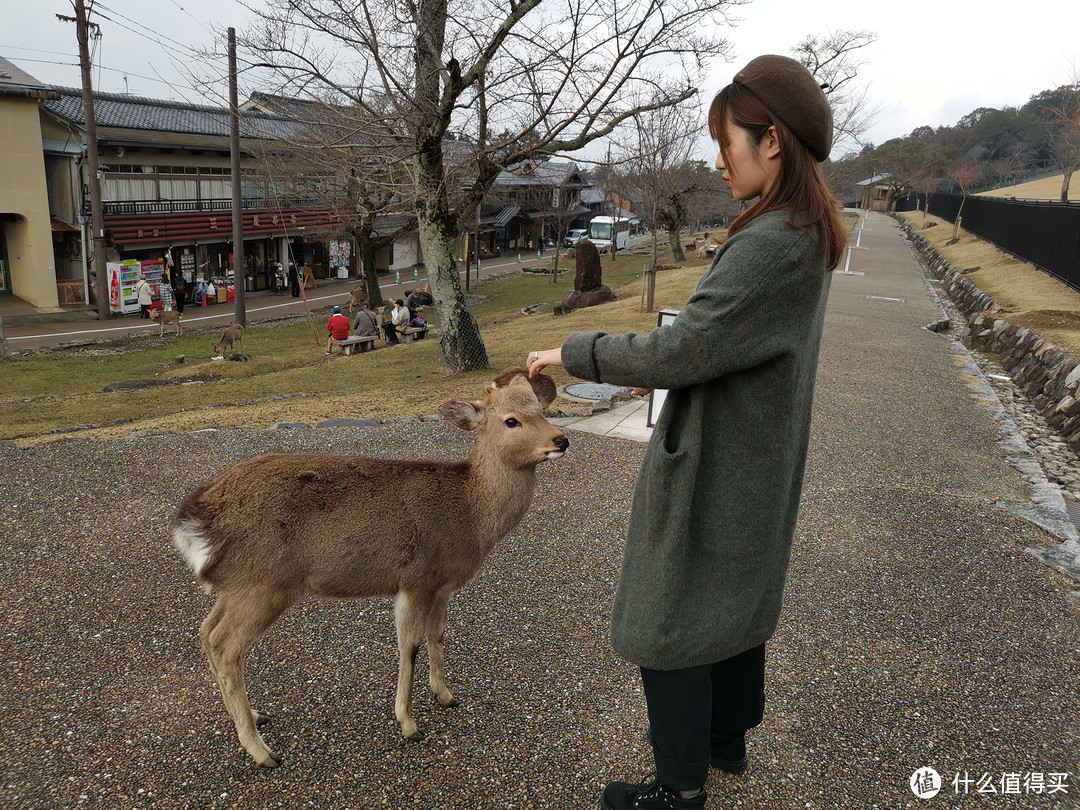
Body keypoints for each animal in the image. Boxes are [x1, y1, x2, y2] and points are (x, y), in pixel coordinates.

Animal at [170, 371, 565, 768]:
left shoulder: (443, 585)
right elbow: (410, 645)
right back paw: (262, 750)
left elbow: (437, 635)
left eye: (542, 409)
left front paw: (446, 695)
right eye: (511, 420)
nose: (561, 439)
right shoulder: (416, 578)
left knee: (206, 631)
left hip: (236, 584)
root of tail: (194, 519)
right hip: (266, 582)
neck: (471, 518)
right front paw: (409, 724)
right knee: (225, 646)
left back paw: (253, 716)